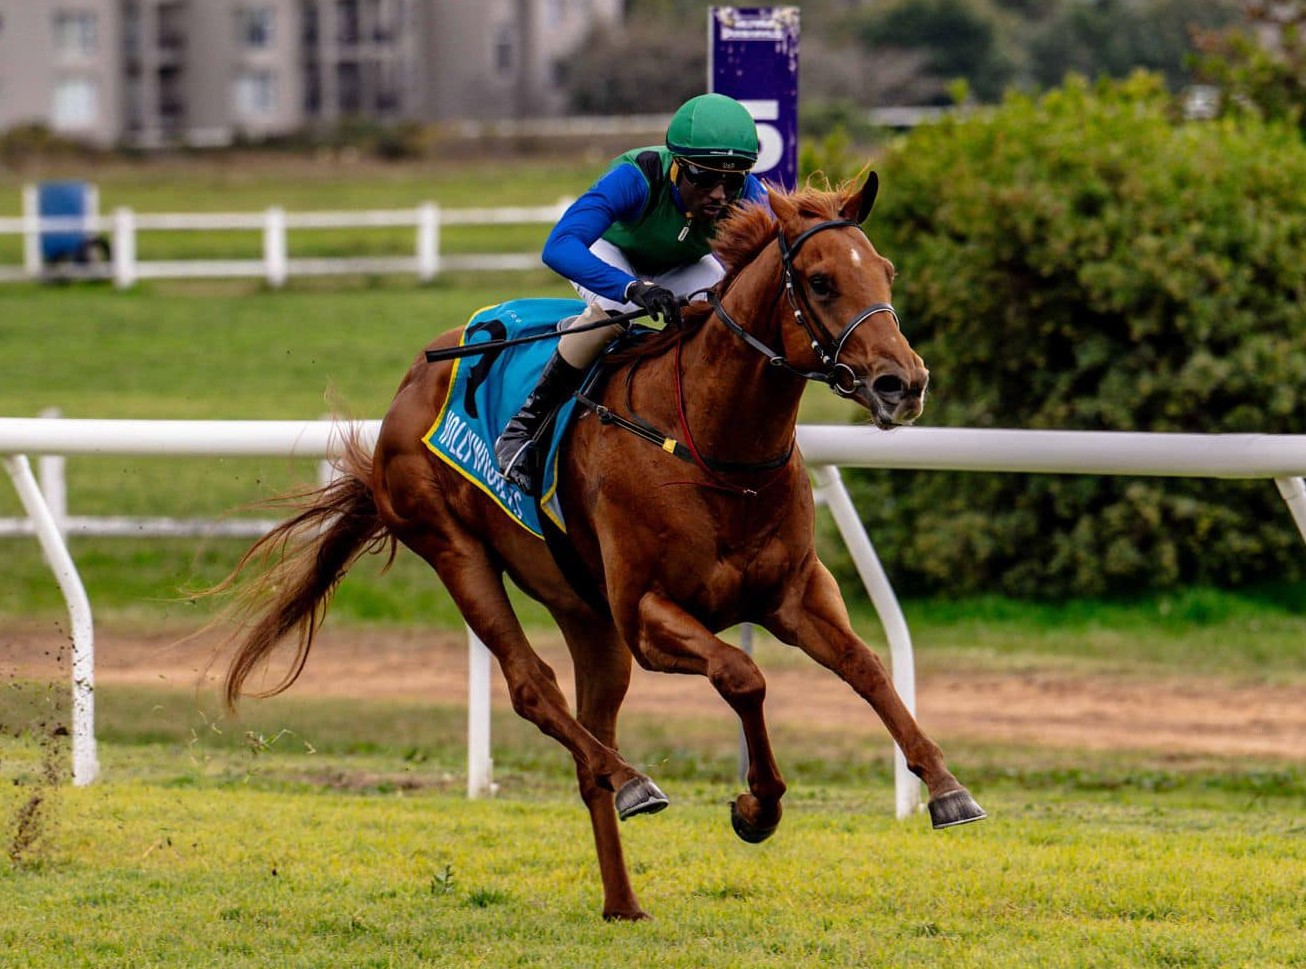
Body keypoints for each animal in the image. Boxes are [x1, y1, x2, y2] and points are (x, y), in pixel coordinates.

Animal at [219, 174, 982, 924]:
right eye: (821, 282)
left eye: (885, 271)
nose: (904, 382)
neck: (713, 443)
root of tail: (409, 386)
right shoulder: (645, 613)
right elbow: (743, 676)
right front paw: (755, 807)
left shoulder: (794, 591)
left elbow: (866, 667)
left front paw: (946, 786)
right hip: (456, 551)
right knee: (535, 690)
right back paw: (635, 781)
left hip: (587, 615)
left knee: (590, 745)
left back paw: (623, 899)